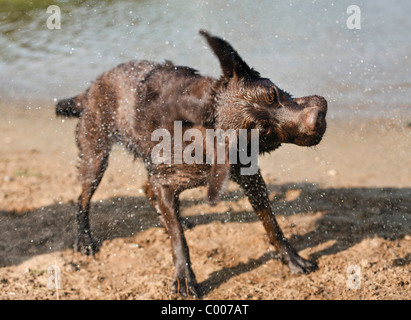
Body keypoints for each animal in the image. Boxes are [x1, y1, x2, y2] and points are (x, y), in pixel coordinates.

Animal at [57, 30, 328, 298]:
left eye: (272, 94)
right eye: (264, 129)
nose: (317, 118)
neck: (207, 132)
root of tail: (91, 87)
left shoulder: (251, 179)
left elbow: (272, 224)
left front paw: (291, 258)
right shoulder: (167, 183)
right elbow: (179, 240)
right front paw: (184, 277)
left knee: (147, 188)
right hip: (96, 157)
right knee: (83, 198)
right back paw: (84, 239)